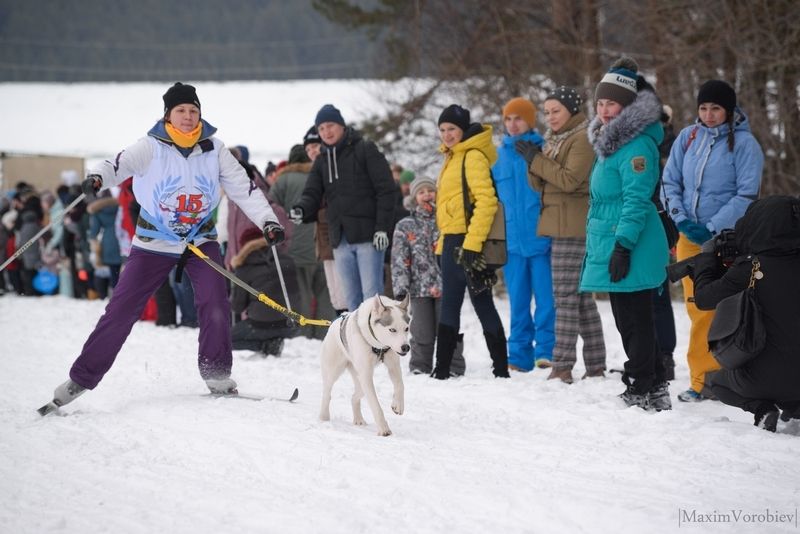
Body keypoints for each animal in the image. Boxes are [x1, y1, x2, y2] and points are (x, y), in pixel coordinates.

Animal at [318, 296, 410, 438]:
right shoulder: (366, 375)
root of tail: (334, 323)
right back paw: (323, 417)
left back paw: (358, 419)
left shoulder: (393, 364)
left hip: (360, 380)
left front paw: (398, 405)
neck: (379, 346)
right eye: (392, 330)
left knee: (354, 397)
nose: (406, 347)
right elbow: (375, 405)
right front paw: (384, 429)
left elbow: (400, 385)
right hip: (333, 372)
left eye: (406, 328)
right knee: (327, 394)